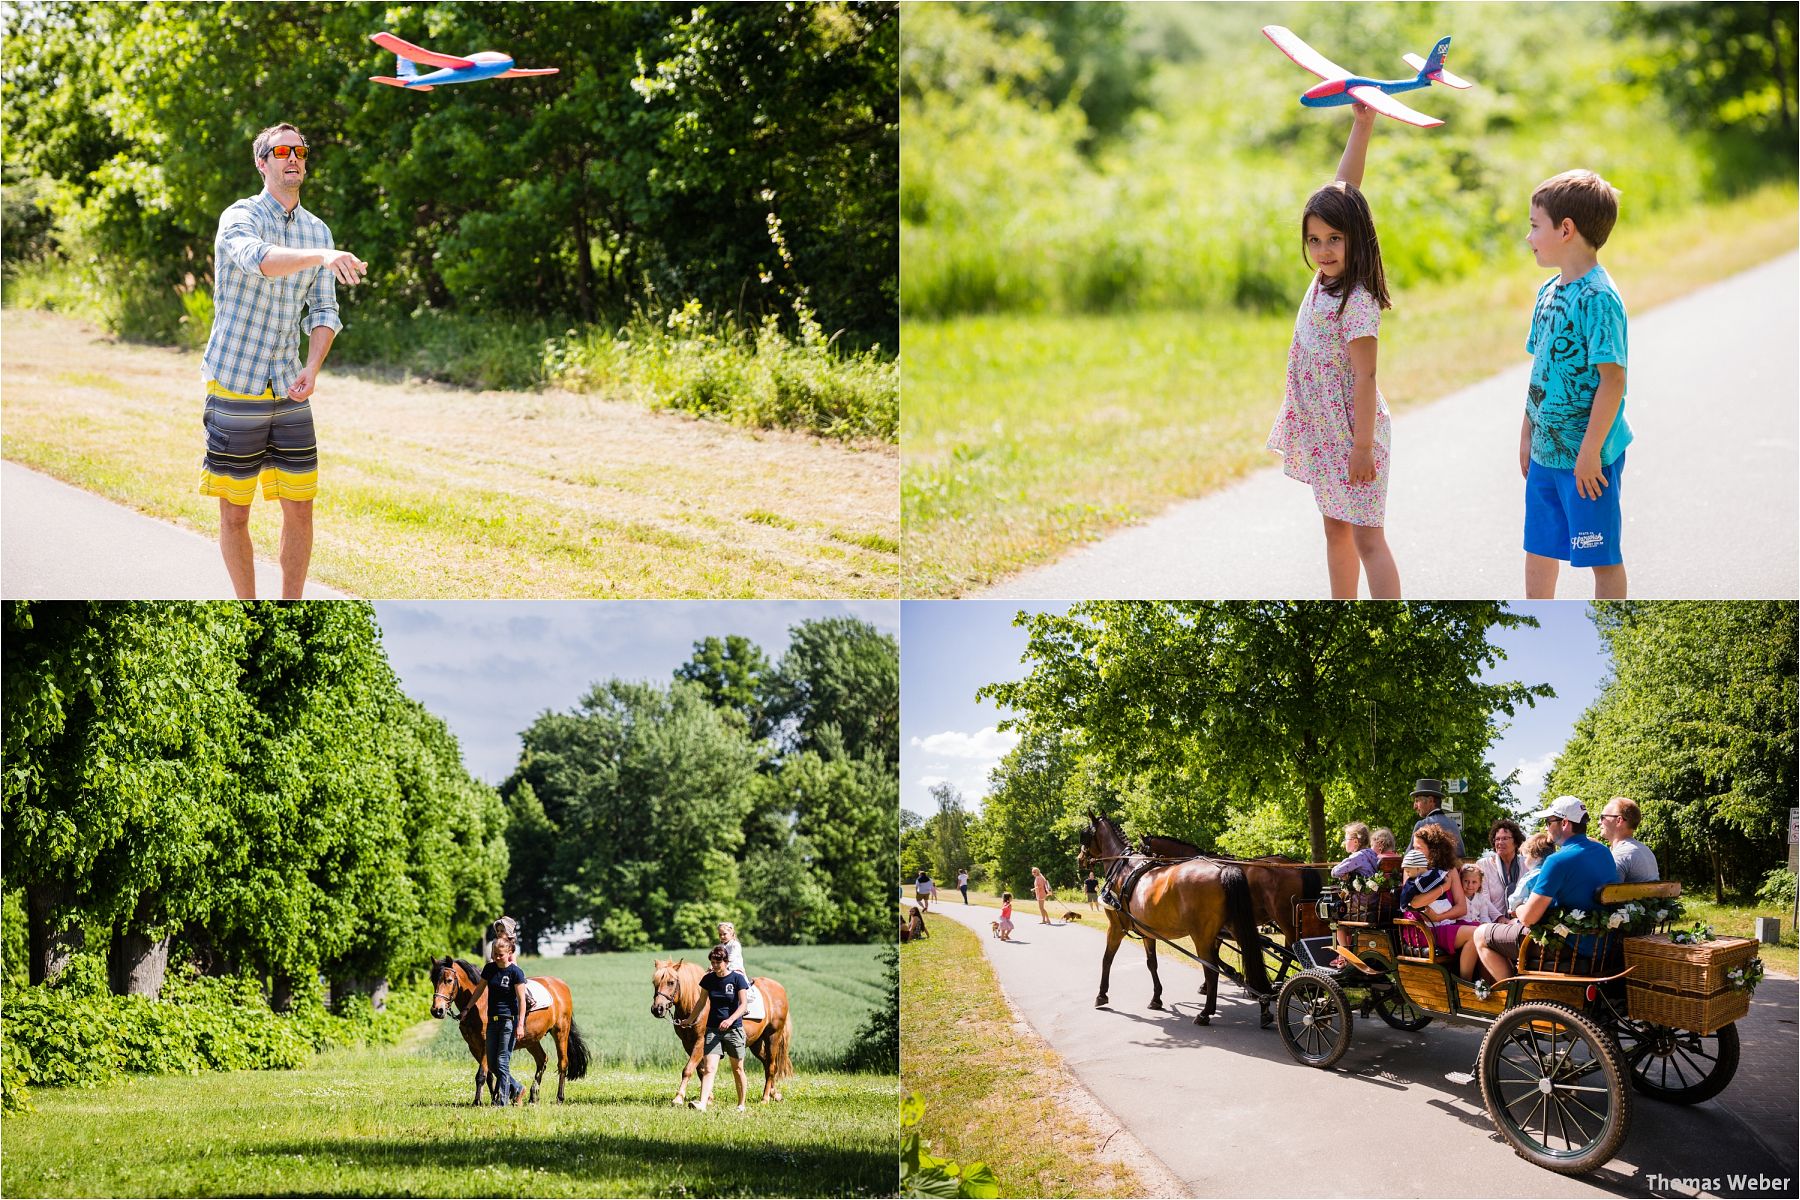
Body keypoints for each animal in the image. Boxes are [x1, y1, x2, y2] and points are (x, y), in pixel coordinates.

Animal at [428, 957, 590, 1108]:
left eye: (449, 980)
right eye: (433, 980)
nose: (437, 1010)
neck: (480, 1004)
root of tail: (561, 985)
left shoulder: (486, 1044)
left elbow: (482, 1075)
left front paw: (478, 1101)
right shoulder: (474, 1047)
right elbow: (490, 1074)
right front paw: (495, 1098)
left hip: (561, 1032)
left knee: (562, 1063)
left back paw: (559, 1098)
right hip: (531, 1040)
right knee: (542, 1060)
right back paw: (533, 1096)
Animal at [648, 957, 788, 1108]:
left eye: (671, 982)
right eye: (655, 982)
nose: (657, 1009)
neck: (695, 1004)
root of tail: (779, 988)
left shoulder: (700, 1042)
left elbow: (688, 1069)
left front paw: (678, 1098)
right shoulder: (688, 1044)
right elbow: (701, 1070)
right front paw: (708, 1097)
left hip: (772, 1037)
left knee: (771, 1066)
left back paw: (765, 1098)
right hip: (756, 1043)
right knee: (767, 1064)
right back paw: (775, 1094)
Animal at [1072, 813, 1274, 1029]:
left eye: (1084, 834)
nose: (1080, 859)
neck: (1122, 868)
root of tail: (1222, 870)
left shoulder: (1116, 927)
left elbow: (1106, 959)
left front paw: (1101, 995)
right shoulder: (1147, 932)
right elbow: (1151, 963)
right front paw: (1156, 998)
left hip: (1202, 937)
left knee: (1211, 970)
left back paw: (1205, 1013)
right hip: (1236, 928)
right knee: (1252, 958)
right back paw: (1264, 1007)